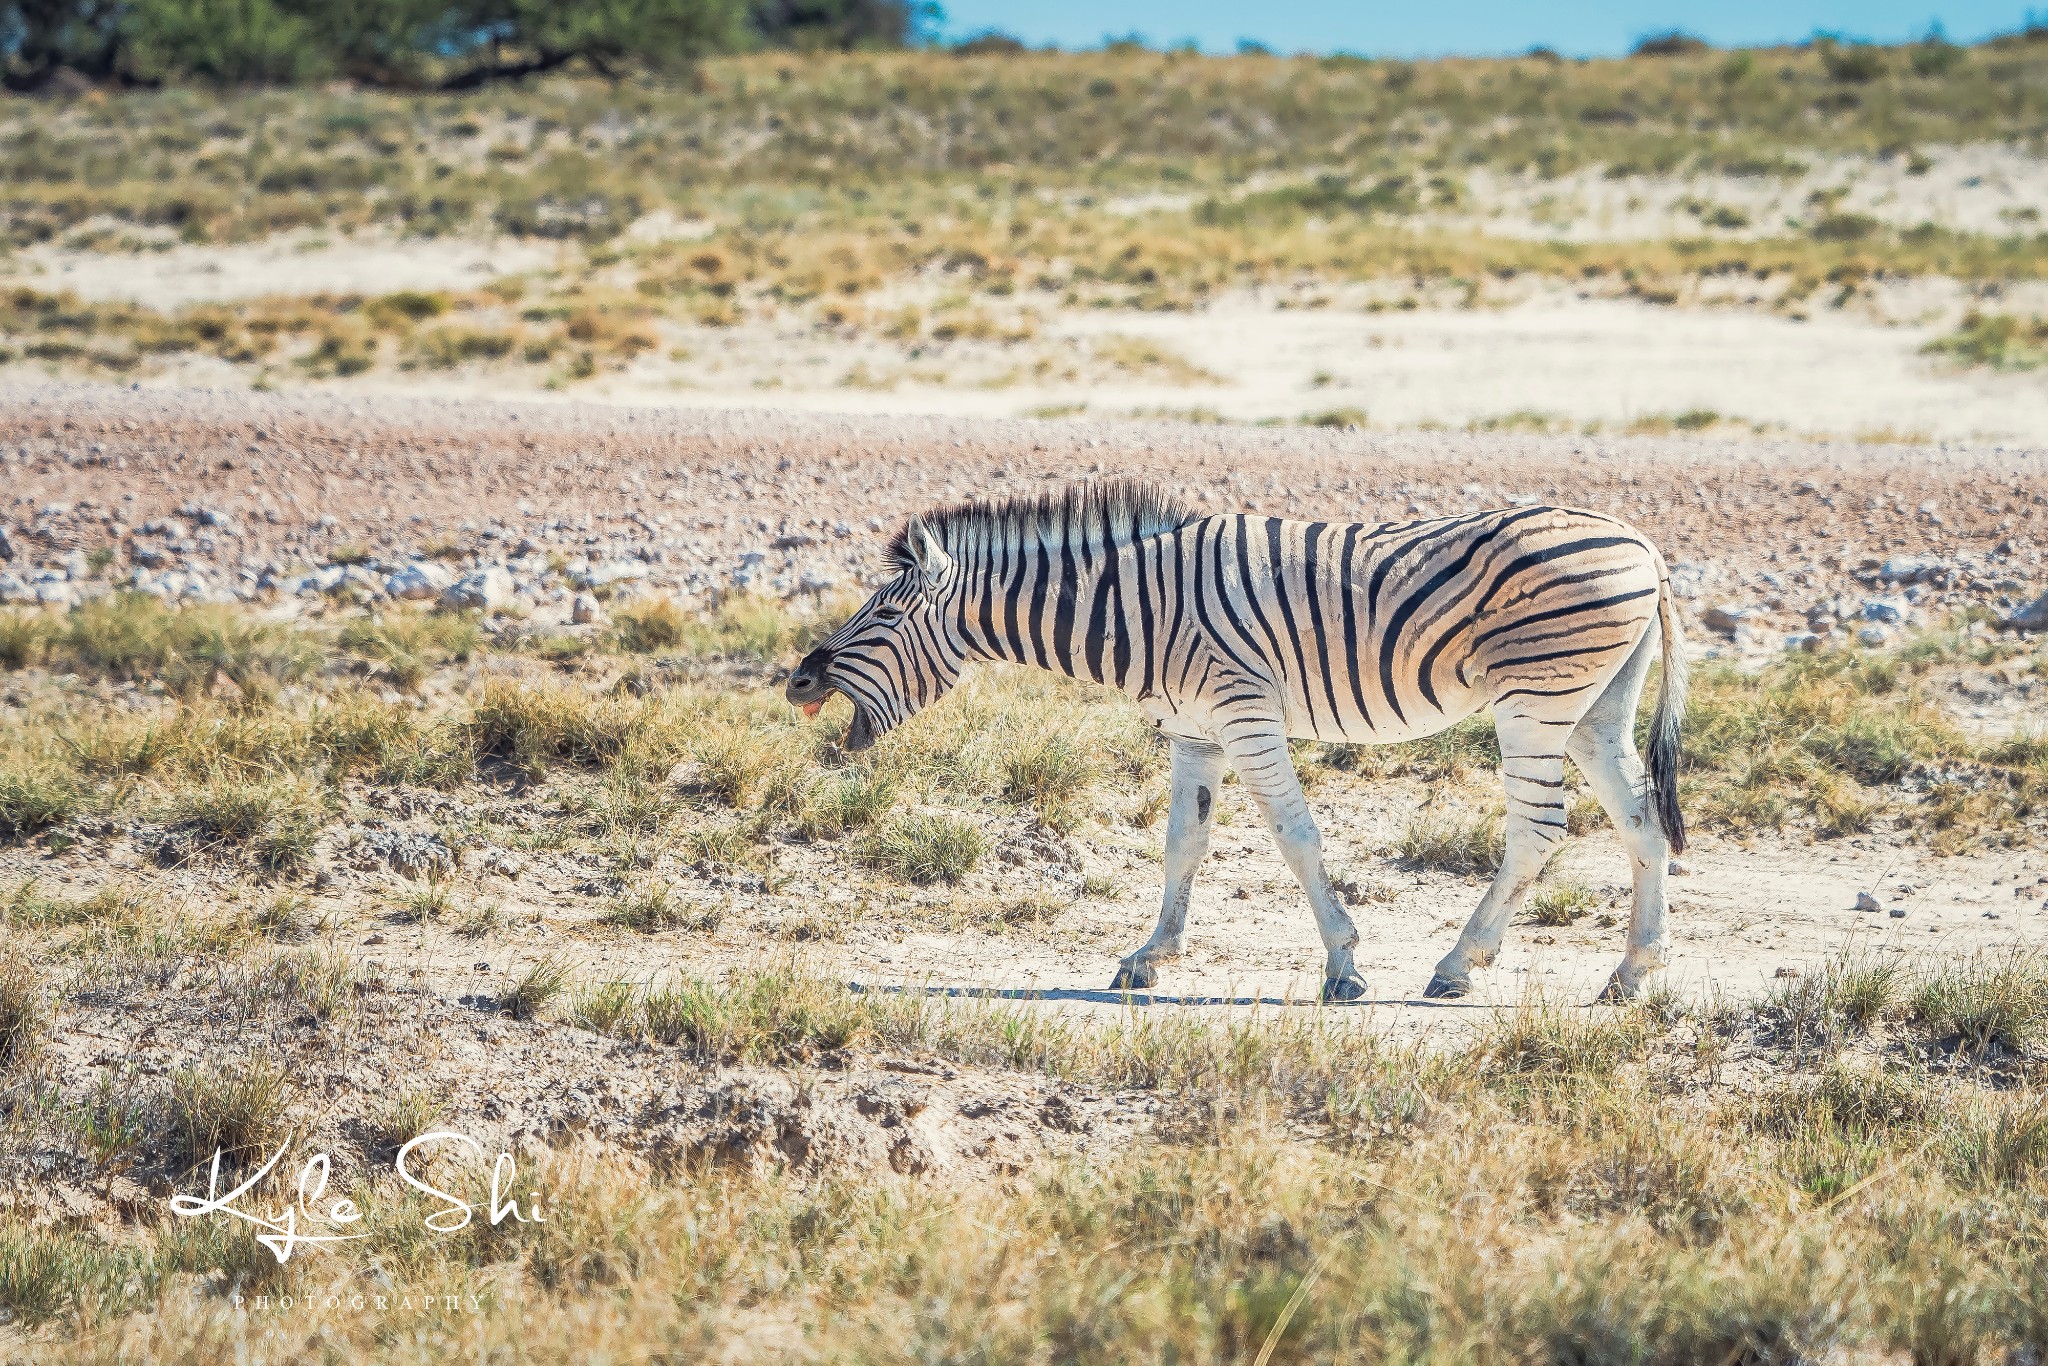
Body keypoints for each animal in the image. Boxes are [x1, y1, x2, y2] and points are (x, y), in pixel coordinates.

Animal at [778, 483, 1679, 1003]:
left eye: (885, 615)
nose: (798, 681)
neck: (1135, 607)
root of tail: (1641, 542)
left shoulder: (1245, 711)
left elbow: (1295, 835)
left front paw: (1343, 966)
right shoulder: (1193, 730)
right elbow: (1183, 842)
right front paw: (1148, 958)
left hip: (1534, 699)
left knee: (1539, 830)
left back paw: (1459, 964)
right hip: (1596, 706)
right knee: (1642, 820)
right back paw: (1631, 974)